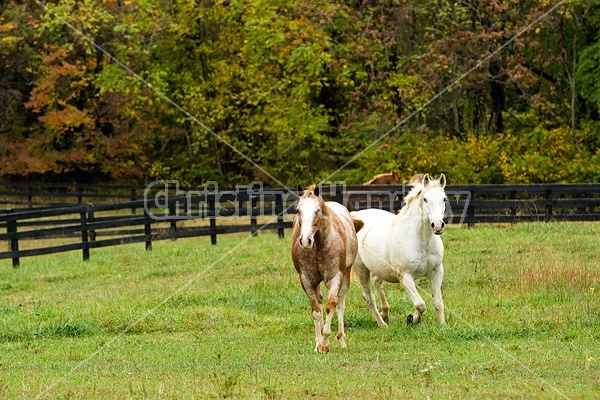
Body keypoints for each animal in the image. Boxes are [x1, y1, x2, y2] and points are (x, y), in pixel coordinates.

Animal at [292, 184, 364, 354]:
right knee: (320, 301)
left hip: (345, 277)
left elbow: (331, 306)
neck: (319, 245)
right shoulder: (306, 280)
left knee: (340, 304)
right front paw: (319, 344)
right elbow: (316, 311)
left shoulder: (335, 277)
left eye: (317, 210)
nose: (305, 240)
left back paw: (341, 339)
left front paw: (325, 344)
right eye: (298, 209)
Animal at [352, 173, 446, 326]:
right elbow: (420, 304)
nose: (437, 226)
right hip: (361, 270)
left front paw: (443, 325)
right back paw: (382, 324)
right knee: (369, 297)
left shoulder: (436, 272)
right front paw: (412, 319)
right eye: (425, 199)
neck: (422, 241)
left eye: (444, 199)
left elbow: (438, 303)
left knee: (377, 282)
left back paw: (385, 313)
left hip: (381, 268)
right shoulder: (405, 276)